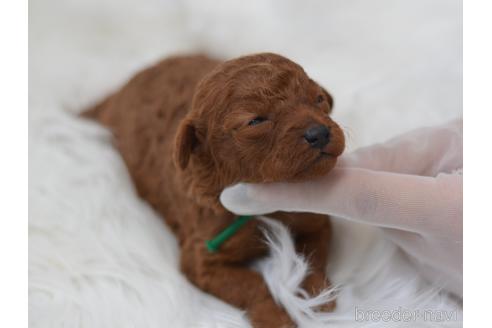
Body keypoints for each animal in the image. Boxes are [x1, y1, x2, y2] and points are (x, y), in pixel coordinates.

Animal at [83, 52, 346, 326]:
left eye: (318, 99)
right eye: (256, 121)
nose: (319, 132)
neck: (264, 199)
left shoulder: (314, 220)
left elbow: (312, 258)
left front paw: (316, 295)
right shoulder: (202, 258)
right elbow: (251, 284)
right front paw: (275, 316)